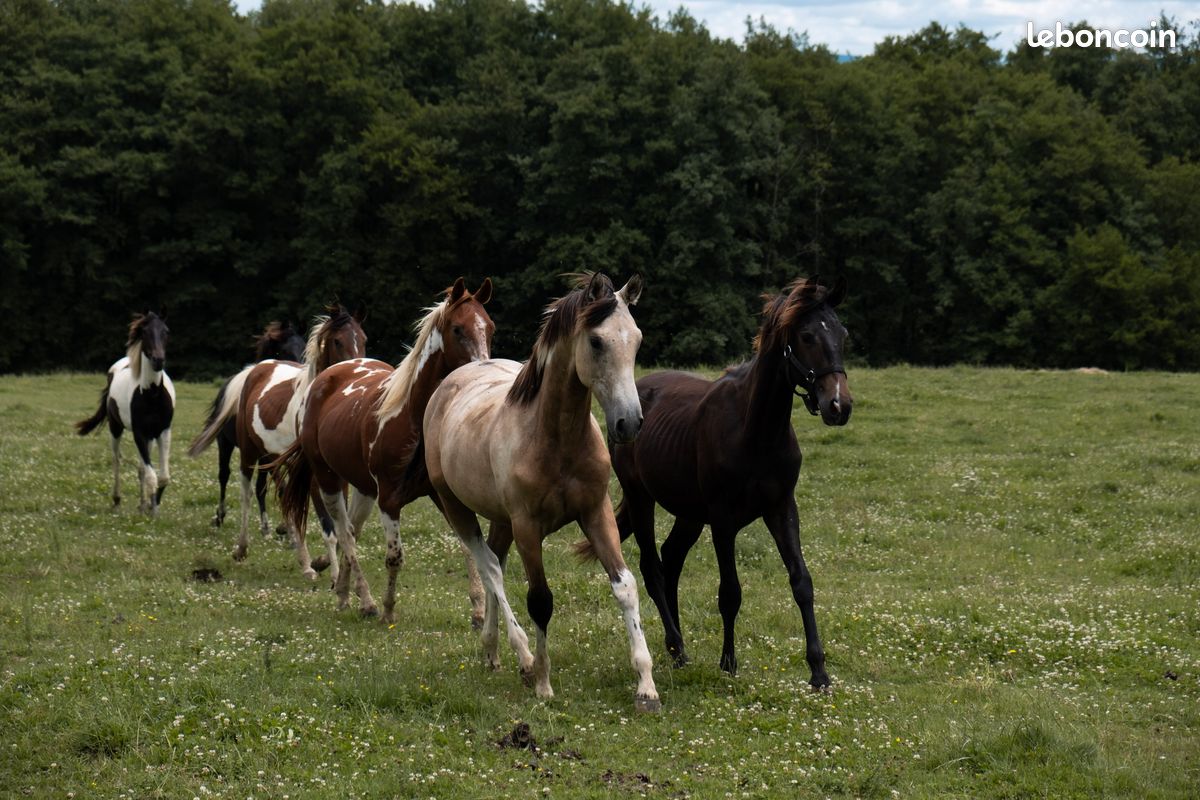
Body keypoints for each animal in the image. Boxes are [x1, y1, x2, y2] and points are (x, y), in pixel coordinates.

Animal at [76, 312, 176, 516]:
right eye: (145, 332)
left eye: (166, 331)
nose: (158, 360)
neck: (152, 394)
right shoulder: (139, 433)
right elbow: (152, 476)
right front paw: (153, 512)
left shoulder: (163, 431)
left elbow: (162, 477)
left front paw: (153, 506)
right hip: (116, 428)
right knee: (116, 460)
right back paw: (116, 499)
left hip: (149, 437)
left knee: (141, 468)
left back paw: (143, 504)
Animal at [188, 321, 306, 529]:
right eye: (285, 350)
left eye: (303, 345)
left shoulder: (267, 454)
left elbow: (263, 487)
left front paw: (270, 526)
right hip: (225, 443)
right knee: (224, 475)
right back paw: (220, 515)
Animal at [275, 278, 493, 623]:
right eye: (458, 329)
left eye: (490, 327)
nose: (482, 369)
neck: (413, 418)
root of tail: (327, 376)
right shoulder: (389, 500)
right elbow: (394, 557)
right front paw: (388, 610)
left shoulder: (440, 494)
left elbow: (468, 546)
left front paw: (479, 610)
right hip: (328, 481)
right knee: (345, 534)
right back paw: (365, 601)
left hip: (363, 489)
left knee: (352, 530)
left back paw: (344, 593)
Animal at [423, 272, 660, 712]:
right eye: (596, 342)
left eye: (637, 339)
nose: (629, 423)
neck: (555, 439)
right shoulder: (528, 528)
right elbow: (540, 600)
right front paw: (544, 684)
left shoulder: (596, 513)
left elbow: (625, 587)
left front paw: (646, 686)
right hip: (458, 509)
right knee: (490, 568)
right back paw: (523, 657)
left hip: (500, 519)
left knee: (495, 560)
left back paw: (493, 651)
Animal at [604, 276, 852, 691]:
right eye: (806, 336)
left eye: (842, 333)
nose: (839, 405)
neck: (756, 432)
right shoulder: (723, 521)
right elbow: (730, 593)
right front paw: (728, 662)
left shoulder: (782, 508)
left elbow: (802, 582)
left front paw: (818, 671)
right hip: (641, 499)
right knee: (653, 568)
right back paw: (677, 645)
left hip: (689, 513)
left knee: (671, 559)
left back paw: (678, 650)